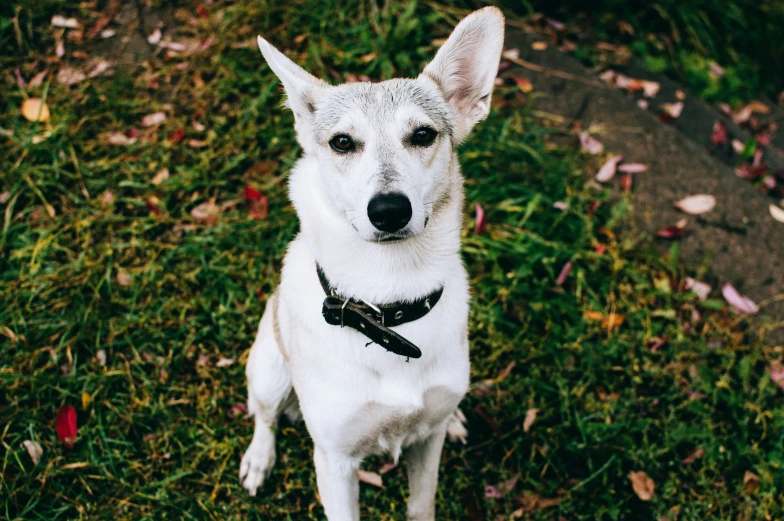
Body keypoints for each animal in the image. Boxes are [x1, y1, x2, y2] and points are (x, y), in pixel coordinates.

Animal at [242, 8, 506, 520]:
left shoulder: (427, 446)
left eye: (422, 135)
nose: (388, 210)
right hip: (267, 369)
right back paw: (259, 458)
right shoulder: (336, 461)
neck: (388, 302)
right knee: (263, 416)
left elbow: (421, 504)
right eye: (342, 142)